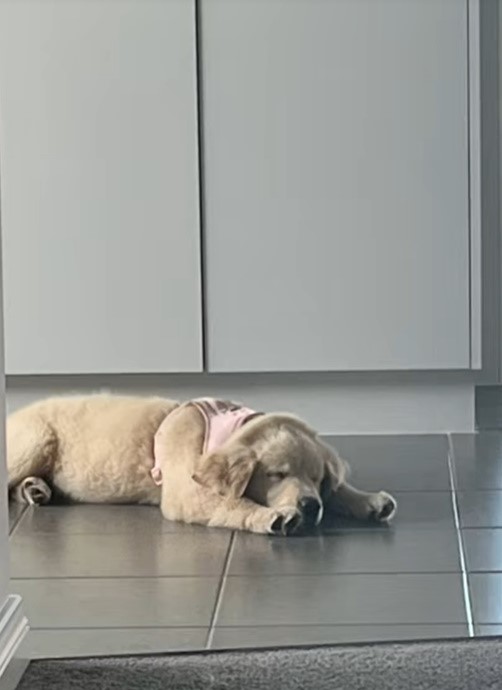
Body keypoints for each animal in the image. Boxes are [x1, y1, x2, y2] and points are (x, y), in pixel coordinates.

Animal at [4, 392, 396, 532]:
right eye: (276, 474)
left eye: (316, 478)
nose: (310, 505)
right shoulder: (185, 493)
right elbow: (231, 503)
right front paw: (273, 516)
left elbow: (339, 488)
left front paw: (369, 500)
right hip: (35, 439)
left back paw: (35, 490)